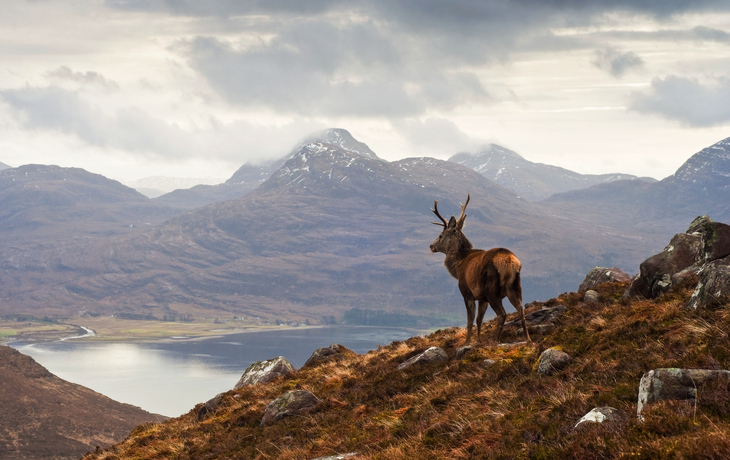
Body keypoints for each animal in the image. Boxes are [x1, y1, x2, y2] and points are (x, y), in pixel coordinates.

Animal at [430, 194, 531, 344]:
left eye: (440, 235)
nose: (431, 246)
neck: (458, 266)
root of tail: (510, 262)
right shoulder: (483, 298)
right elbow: (479, 320)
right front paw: (478, 340)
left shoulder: (467, 292)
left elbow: (470, 320)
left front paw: (467, 342)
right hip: (515, 286)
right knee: (520, 309)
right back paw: (527, 338)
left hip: (492, 289)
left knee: (502, 314)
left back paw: (494, 341)